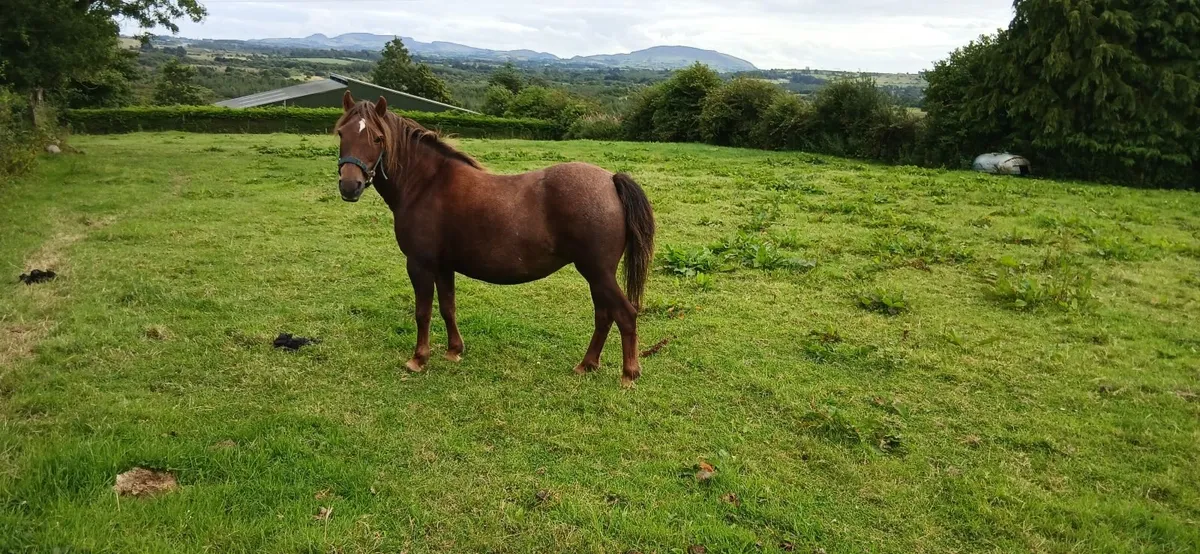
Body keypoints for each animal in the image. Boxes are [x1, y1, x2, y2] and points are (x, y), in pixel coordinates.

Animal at [334, 91, 656, 386]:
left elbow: (422, 312)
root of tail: (611, 181)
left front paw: (418, 359)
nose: (350, 186)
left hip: (597, 272)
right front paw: (454, 351)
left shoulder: (419, 264)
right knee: (604, 315)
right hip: (596, 274)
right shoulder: (443, 266)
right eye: (341, 133)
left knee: (625, 314)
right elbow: (447, 306)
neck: (426, 184)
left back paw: (628, 374)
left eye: (377, 138)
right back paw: (587, 365)